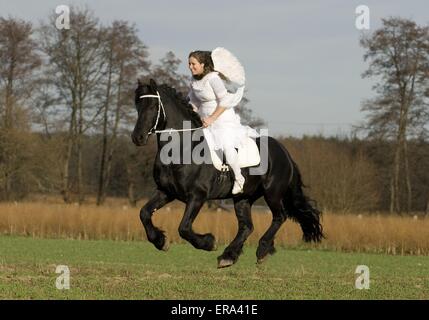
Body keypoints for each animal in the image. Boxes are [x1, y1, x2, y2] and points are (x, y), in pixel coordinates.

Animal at [132, 79, 322, 268]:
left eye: (152, 106)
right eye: (137, 105)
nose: (137, 137)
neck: (181, 149)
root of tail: (285, 153)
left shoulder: (197, 196)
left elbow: (184, 228)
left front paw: (209, 243)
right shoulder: (166, 192)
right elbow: (144, 213)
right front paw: (160, 241)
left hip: (272, 193)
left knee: (279, 217)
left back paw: (262, 250)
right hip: (243, 198)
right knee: (247, 226)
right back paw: (229, 256)